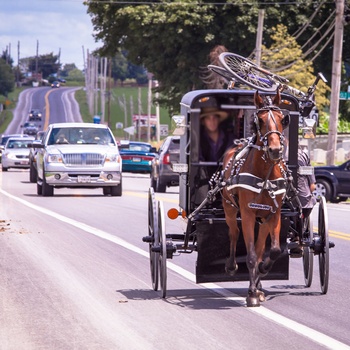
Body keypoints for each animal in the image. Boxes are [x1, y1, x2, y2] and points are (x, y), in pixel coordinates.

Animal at [223, 90, 288, 306]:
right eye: (260, 120)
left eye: (282, 119)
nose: (275, 150)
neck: (265, 175)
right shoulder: (248, 214)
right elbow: (250, 255)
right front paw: (251, 293)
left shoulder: (274, 213)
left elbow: (273, 250)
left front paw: (261, 274)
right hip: (229, 209)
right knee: (233, 233)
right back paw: (232, 266)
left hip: (263, 219)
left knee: (260, 248)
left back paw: (259, 284)